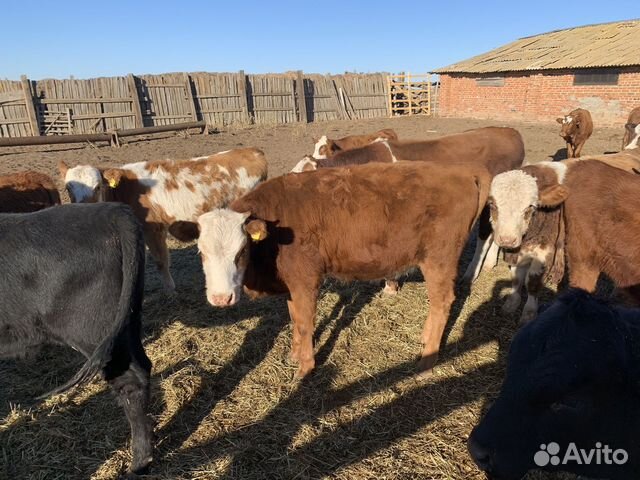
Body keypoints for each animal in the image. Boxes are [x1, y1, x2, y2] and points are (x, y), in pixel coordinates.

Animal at [60, 147, 268, 292]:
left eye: (97, 187)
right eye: (68, 188)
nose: (82, 212)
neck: (127, 188)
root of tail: (252, 150)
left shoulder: (154, 229)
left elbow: (160, 261)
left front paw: (170, 289)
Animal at [172, 161, 492, 378]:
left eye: (240, 251)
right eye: (201, 252)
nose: (220, 298)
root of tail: (462, 172)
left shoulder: (306, 281)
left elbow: (304, 322)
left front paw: (305, 369)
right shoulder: (292, 285)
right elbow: (294, 319)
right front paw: (294, 354)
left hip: (439, 259)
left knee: (442, 302)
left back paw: (427, 359)